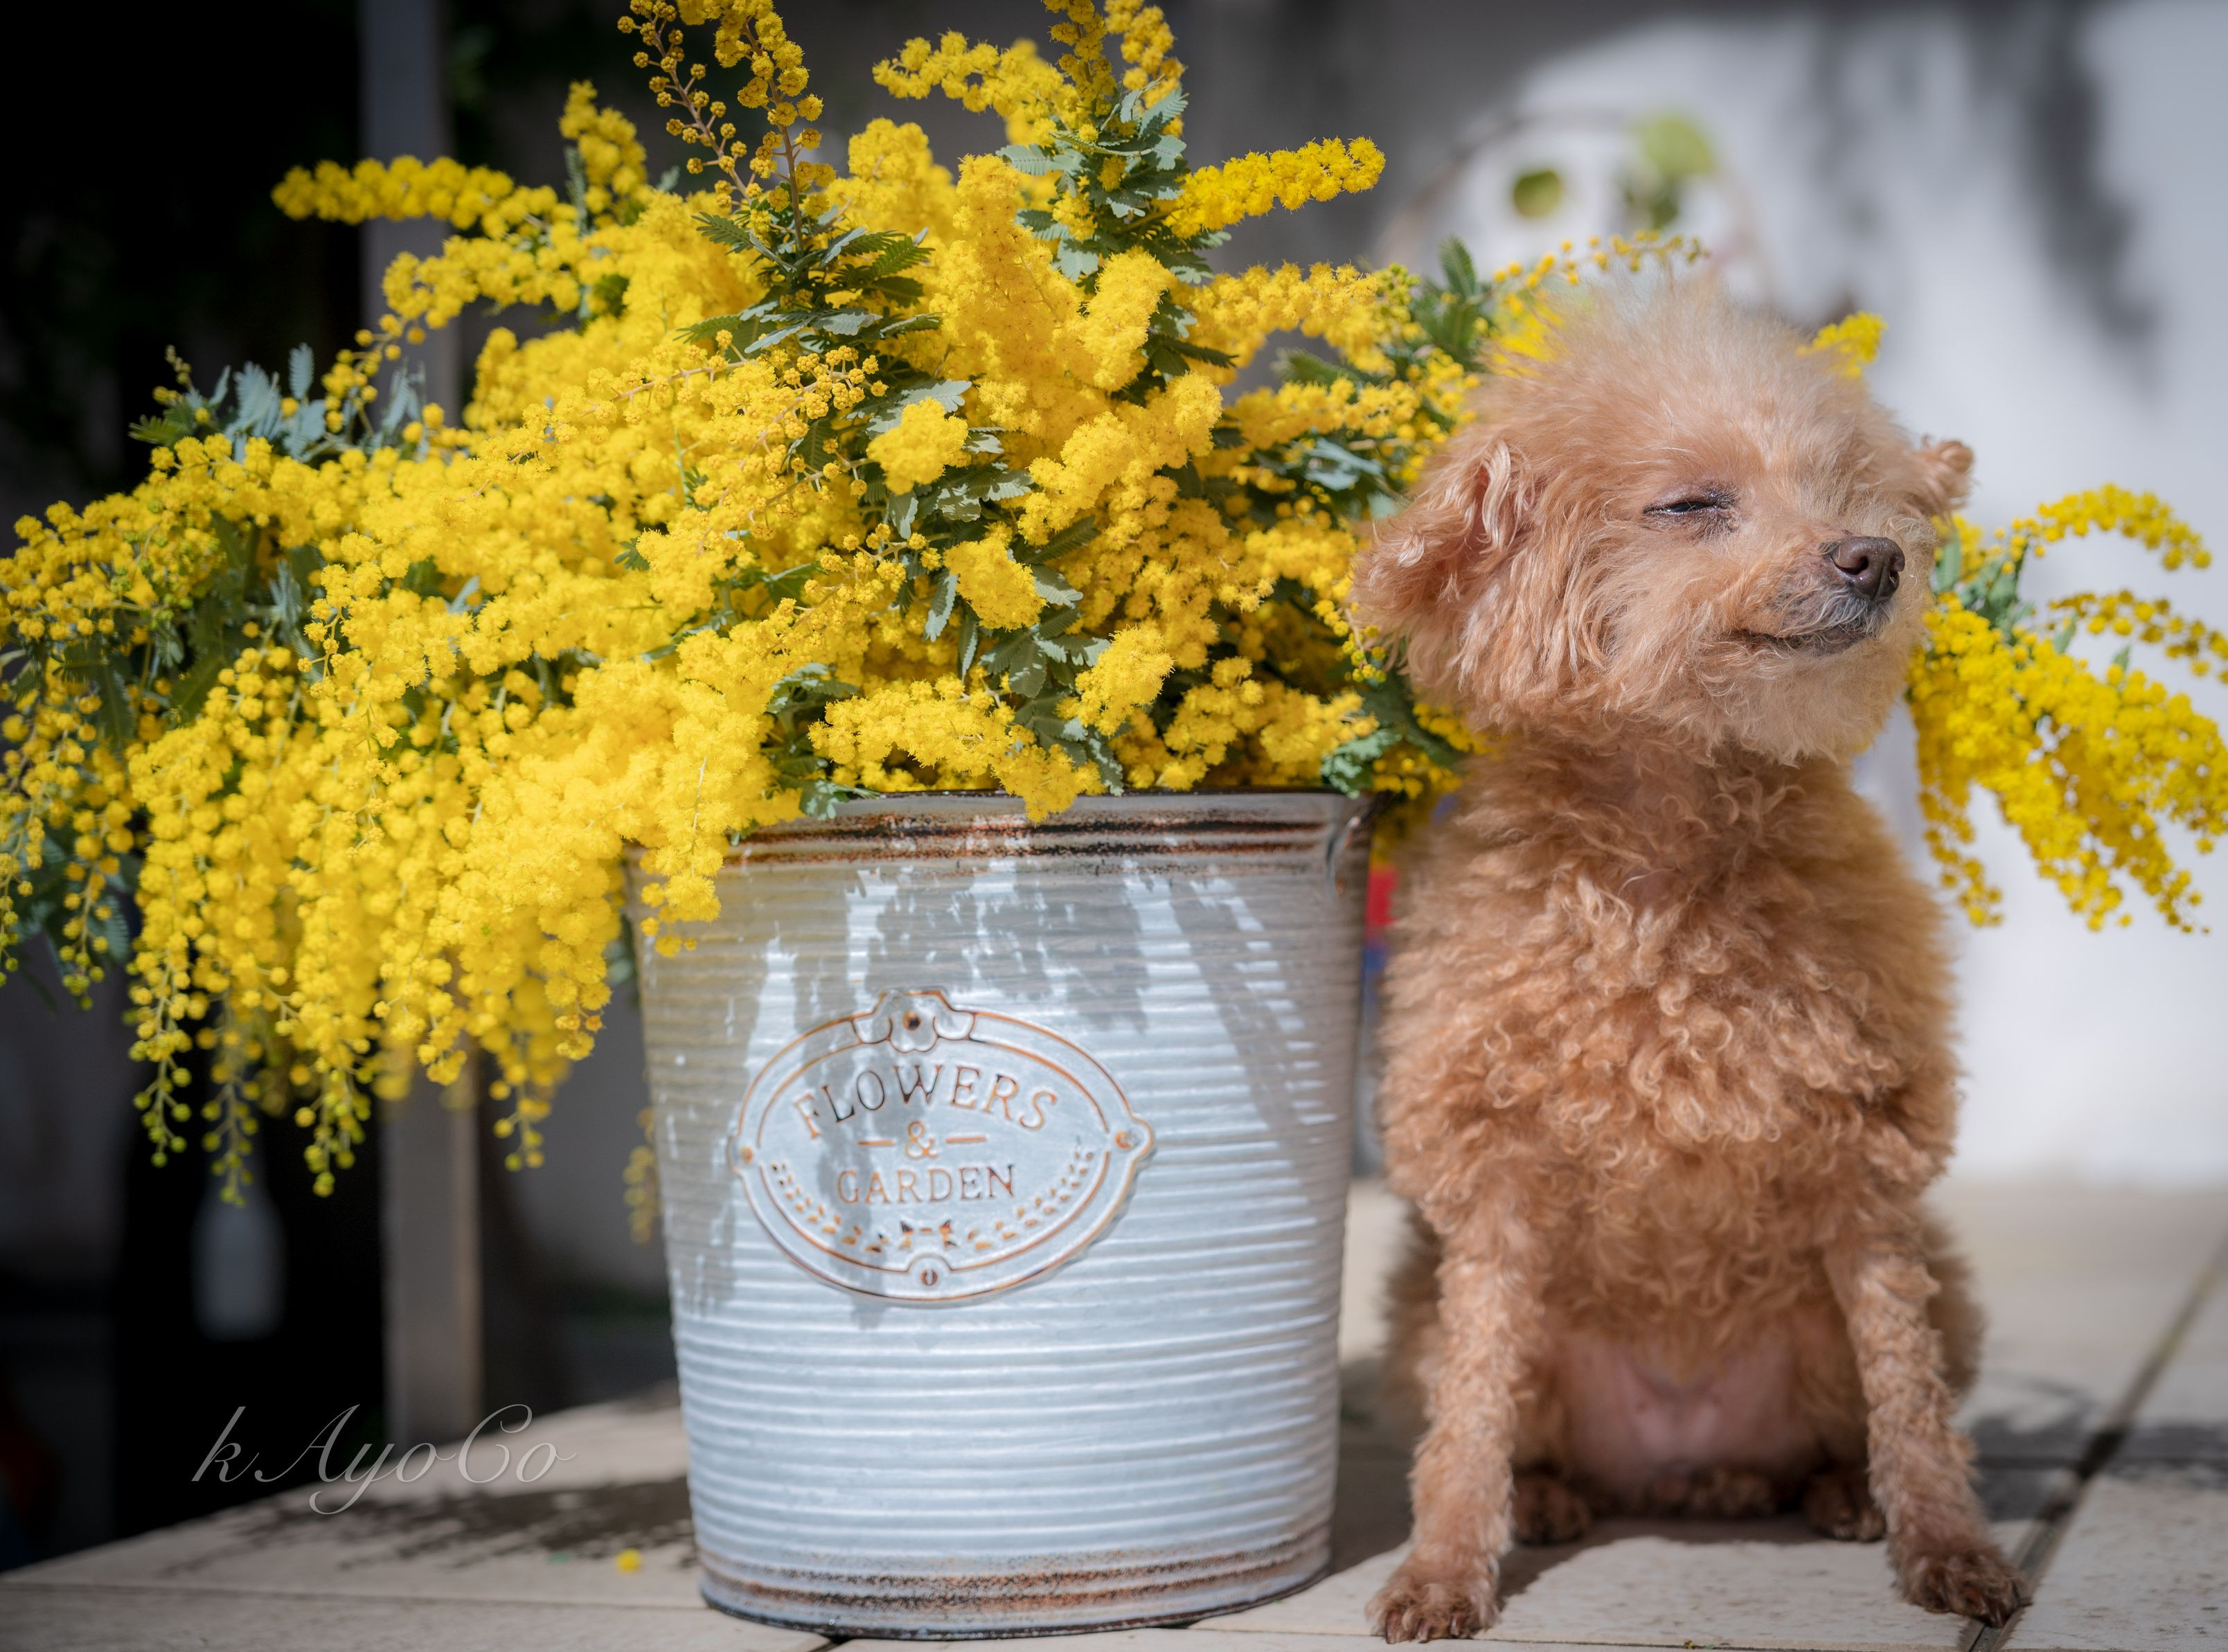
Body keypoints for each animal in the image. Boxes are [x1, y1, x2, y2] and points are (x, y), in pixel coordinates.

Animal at [1348, 278, 2025, 1641]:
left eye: (1847, 491)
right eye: (1691, 504)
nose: (1873, 559)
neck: (1667, 856)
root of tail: (1679, 1462)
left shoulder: (1870, 1170)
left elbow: (1911, 1398)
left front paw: (1946, 1549)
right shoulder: (1490, 1188)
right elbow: (1467, 1420)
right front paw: (1444, 1570)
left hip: (1918, 1294)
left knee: (1843, 1424)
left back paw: (1834, 1493)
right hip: (1421, 1315)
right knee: (1513, 1422)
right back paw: (1555, 1497)